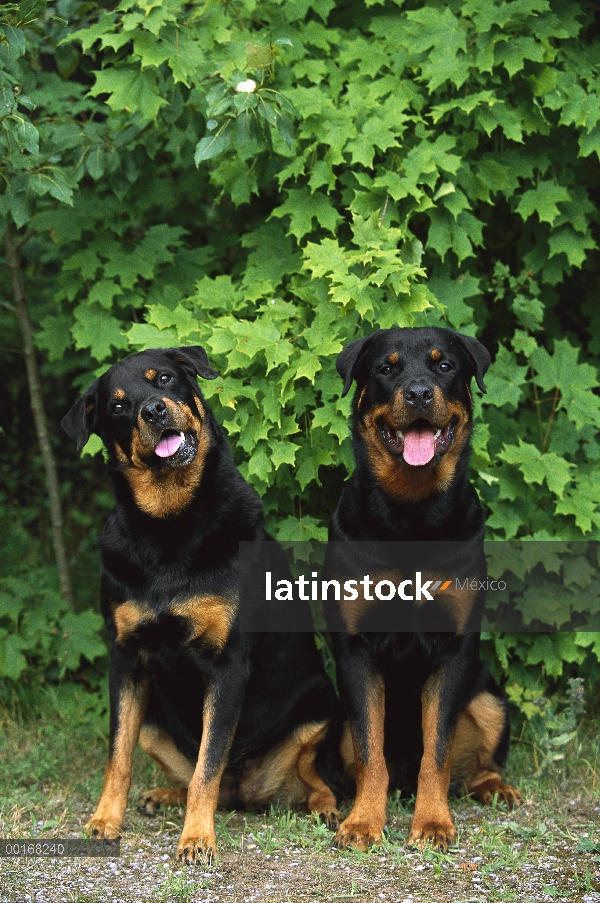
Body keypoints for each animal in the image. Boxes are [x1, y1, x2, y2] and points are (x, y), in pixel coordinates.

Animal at [63, 346, 342, 860]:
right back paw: (163, 795)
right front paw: (105, 820)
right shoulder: (124, 658)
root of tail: (244, 793)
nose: (153, 410)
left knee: (313, 778)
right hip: (154, 722)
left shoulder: (227, 663)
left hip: (319, 704)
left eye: (164, 379)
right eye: (117, 406)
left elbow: (207, 767)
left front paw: (196, 838)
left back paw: (326, 807)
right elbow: (118, 757)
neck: (169, 525)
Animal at [324, 326, 520, 856]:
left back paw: (497, 787)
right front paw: (363, 822)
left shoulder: (454, 648)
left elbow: (439, 750)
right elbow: (371, 753)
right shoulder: (356, 650)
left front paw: (432, 822)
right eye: (386, 368)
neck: (409, 515)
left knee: (476, 763)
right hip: (337, 718)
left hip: (490, 698)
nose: (417, 393)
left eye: (444, 366)